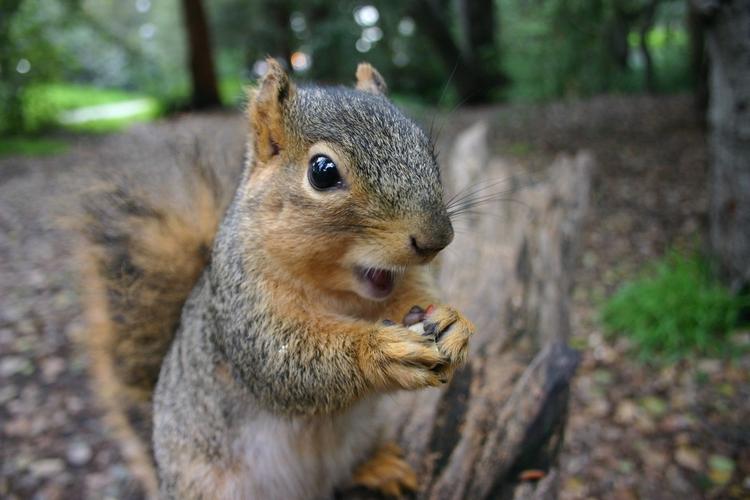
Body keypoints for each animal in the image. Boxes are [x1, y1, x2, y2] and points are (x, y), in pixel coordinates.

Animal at [79, 59, 475, 499]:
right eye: (323, 172)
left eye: (425, 145)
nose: (437, 239)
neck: (340, 295)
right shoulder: (242, 309)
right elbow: (283, 362)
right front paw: (378, 351)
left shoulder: (404, 283)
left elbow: (418, 297)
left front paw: (454, 323)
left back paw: (379, 466)